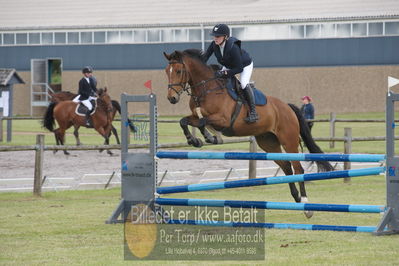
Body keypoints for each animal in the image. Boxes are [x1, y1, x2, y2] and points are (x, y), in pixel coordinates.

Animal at [163, 48, 334, 217]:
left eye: (178, 71)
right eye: (166, 71)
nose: (171, 98)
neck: (206, 88)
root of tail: (287, 107)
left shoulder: (223, 120)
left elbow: (202, 121)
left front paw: (207, 138)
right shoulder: (197, 116)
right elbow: (185, 121)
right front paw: (197, 140)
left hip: (288, 141)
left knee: (298, 168)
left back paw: (306, 205)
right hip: (268, 142)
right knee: (286, 166)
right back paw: (296, 197)